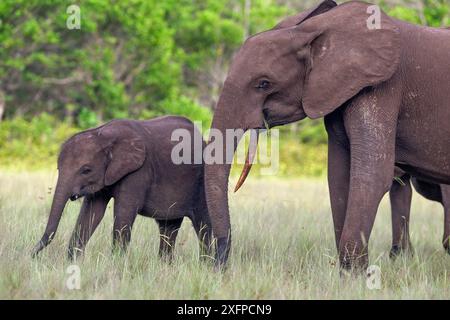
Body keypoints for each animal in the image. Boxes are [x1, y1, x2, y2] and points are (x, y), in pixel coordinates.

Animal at [32, 116, 212, 262]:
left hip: (201, 182)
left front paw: (116, 265)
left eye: (86, 170)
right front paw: (72, 263)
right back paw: (165, 266)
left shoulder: (139, 170)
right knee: (169, 227)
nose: (33, 255)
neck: (103, 135)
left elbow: (124, 213)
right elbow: (91, 213)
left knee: (203, 224)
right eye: (58, 168)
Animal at [206, 0, 450, 272]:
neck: (316, 31)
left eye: (263, 84)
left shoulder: (383, 89)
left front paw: (355, 275)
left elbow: (373, 176)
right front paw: (350, 275)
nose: (219, 263)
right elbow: (338, 175)